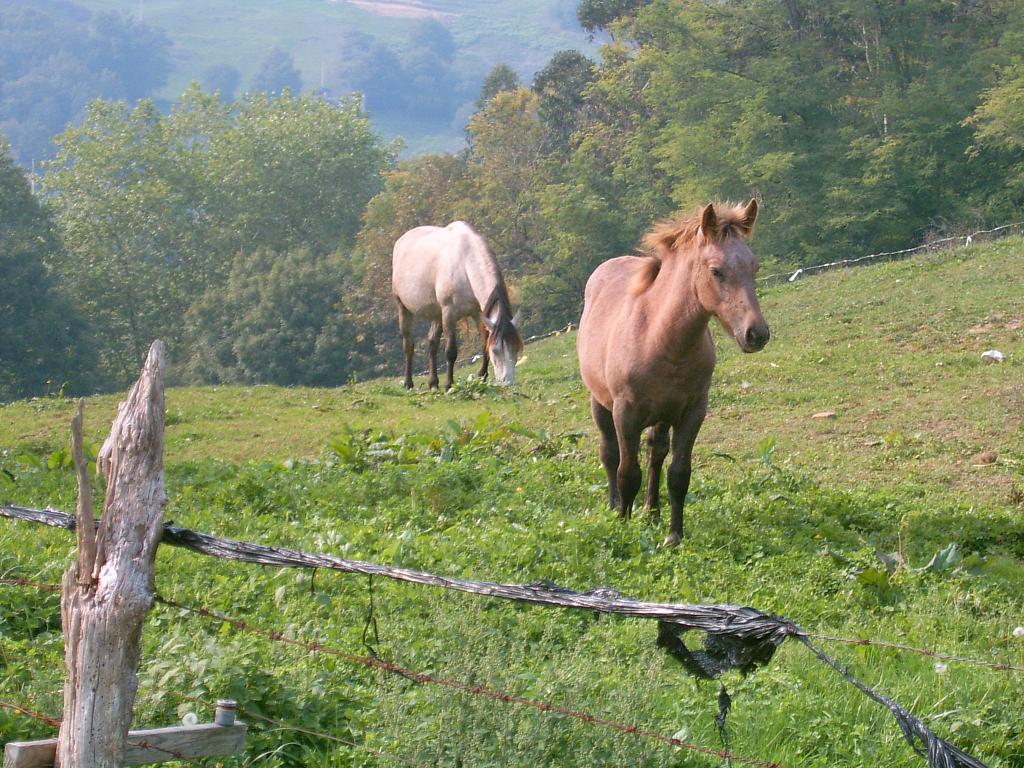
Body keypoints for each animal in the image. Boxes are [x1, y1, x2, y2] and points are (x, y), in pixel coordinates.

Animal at [389, 222, 520, 391]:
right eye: (496, 351)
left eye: (516, 348)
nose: (508, 382)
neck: (465, 264)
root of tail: (402, 240)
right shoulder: (449, 313)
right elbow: (451, 351)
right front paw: (449, 385)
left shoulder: (478, 313)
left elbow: (484, 343)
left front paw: (482, 377)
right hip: (403, 307)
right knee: (408, 345)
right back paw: (408, 383)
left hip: (437, 314)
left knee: (432, 343)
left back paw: (433, 383)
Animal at [577, 198, 770, 548]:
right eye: (716, 270)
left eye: (754, 266)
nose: (756, 334)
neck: (659, 337)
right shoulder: (625, 413)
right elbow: (627, 472)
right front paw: (623, 525)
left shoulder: (693, 411)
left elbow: (679, 474)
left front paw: (674, 536)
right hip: (600, 402)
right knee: (609, 454)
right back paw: (614, 506)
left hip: (663, 415)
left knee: (656, 454)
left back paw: (651, 512)